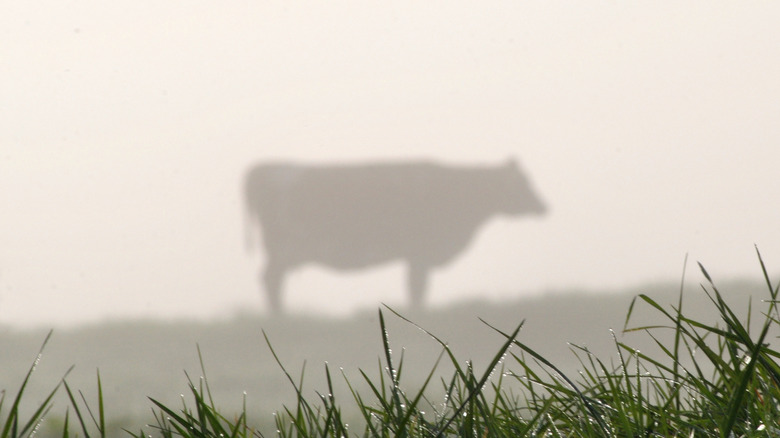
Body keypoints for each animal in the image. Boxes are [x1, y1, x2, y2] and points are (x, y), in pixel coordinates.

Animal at [243, 158, 547, 312]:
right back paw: (279, 317)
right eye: (523, 182)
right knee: (271, 280)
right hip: (283, 247)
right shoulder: (420, 253)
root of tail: (265, 166)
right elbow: (417, 289)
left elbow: (416, 288)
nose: (544, 206)